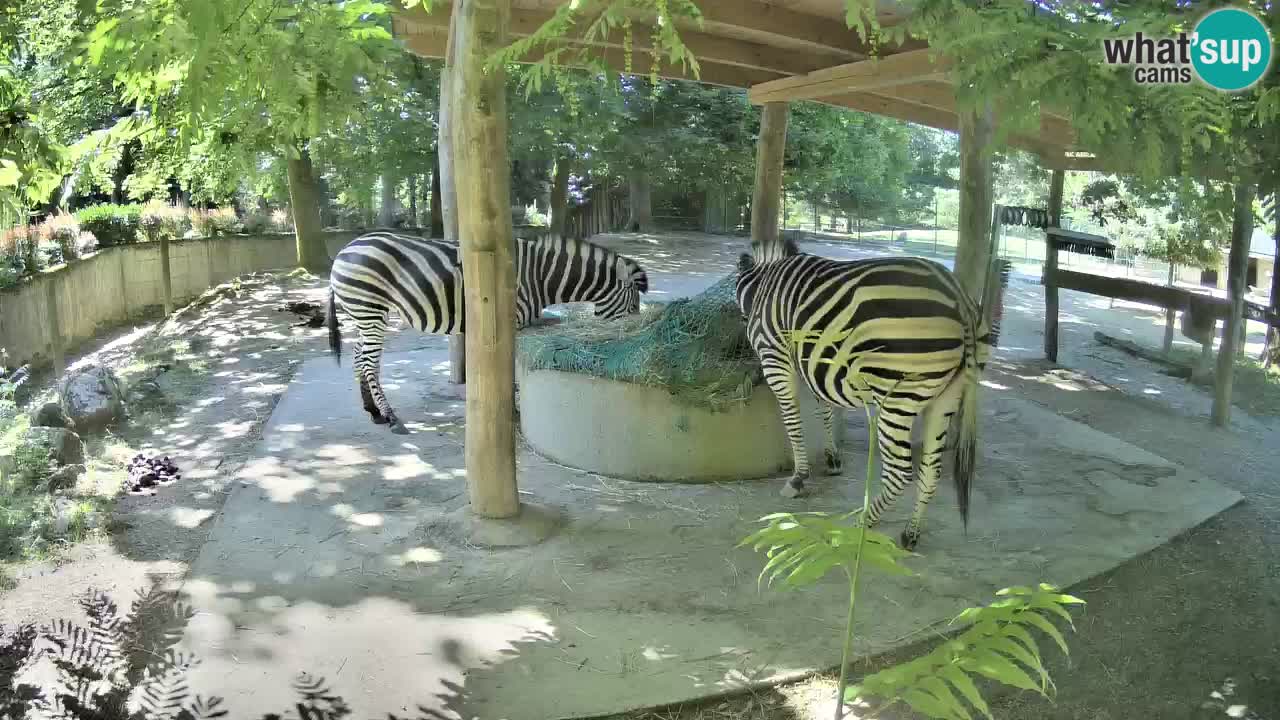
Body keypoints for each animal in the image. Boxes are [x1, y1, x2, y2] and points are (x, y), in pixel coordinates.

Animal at [326, 231, 649, 434]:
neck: (540, 277)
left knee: (360, 358)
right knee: (368, 363)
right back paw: (392, 418)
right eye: (633, 305)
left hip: (362, 314)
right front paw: (511, 409)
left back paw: (374, 412)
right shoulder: (511, 320)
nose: (634, 336)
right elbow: (508, 369)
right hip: (369, 308)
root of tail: (344, 250)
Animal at [735, 238, 1009, 549]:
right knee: (931, 471)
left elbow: (793, 420)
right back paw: (910, 533)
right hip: (948, 396)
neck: (763, 284)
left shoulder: (775, 357)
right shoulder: (814, 363)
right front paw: (832, 458)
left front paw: (799, 478)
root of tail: (960, 299)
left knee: (900, 473)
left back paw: (860, 526)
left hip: (898, 399)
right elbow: (824, 407)